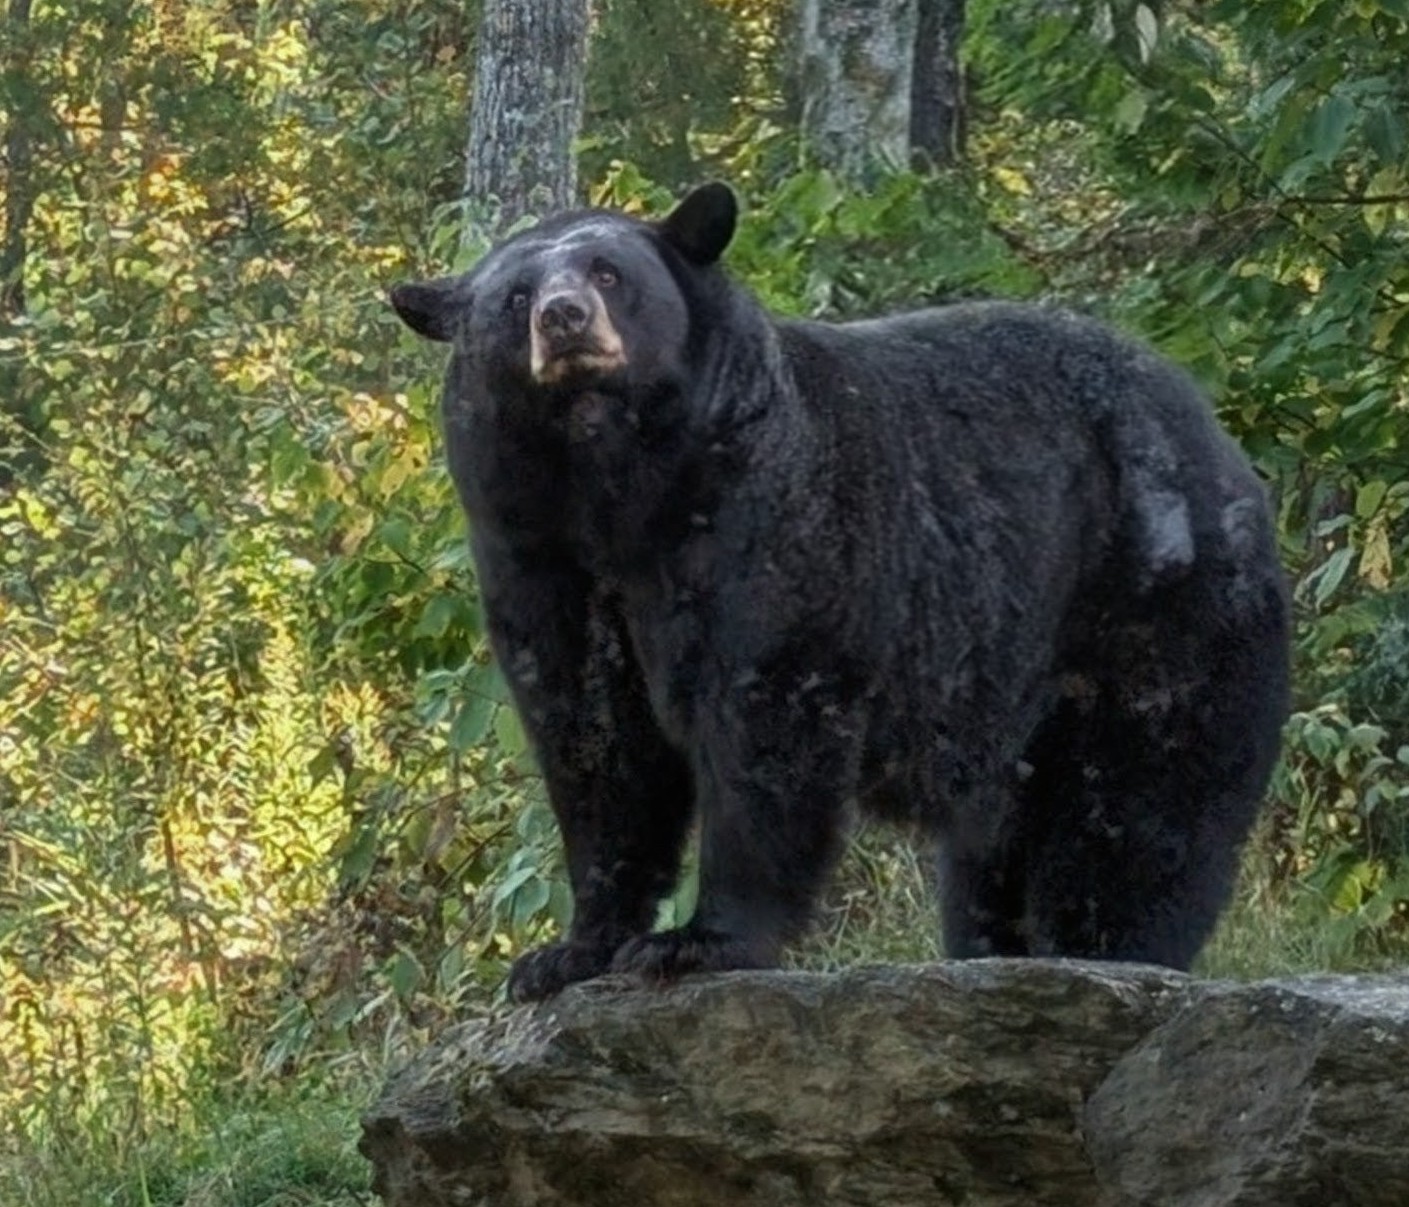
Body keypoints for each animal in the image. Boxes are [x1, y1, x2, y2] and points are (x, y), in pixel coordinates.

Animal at [389, 182, 1290, 1003]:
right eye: (514, 296)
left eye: (609, 272)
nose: (565, 318)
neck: (617, 489)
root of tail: (1219, 441)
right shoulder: (536, 554)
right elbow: (593, 740)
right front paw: (567, 951)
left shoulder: (774, 526)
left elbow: (764, 726)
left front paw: (698, 939)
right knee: (990, 855)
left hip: (1154, 609)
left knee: (1142, 814)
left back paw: (1104, 951)